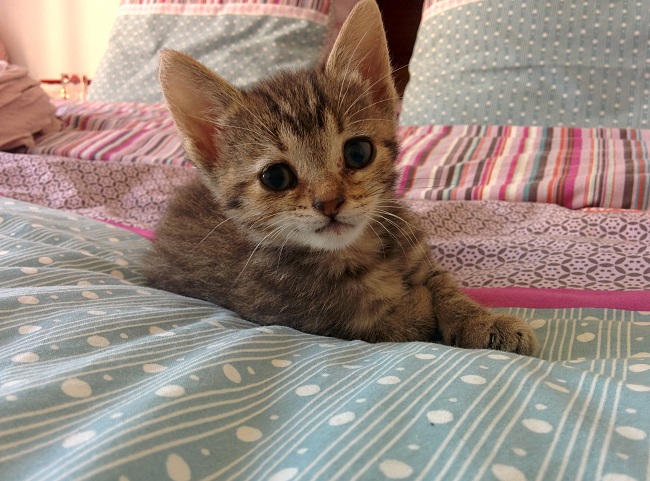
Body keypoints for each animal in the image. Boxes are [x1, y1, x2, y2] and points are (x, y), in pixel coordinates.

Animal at [143, 0, 538, 355]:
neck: (358, 250)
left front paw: (485, 321)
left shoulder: (416, 253)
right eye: (275, 177)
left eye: (358, 153)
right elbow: (387, 320)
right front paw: (417, 306)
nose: (330, 201)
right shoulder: (287, 311)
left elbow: (444, 286)